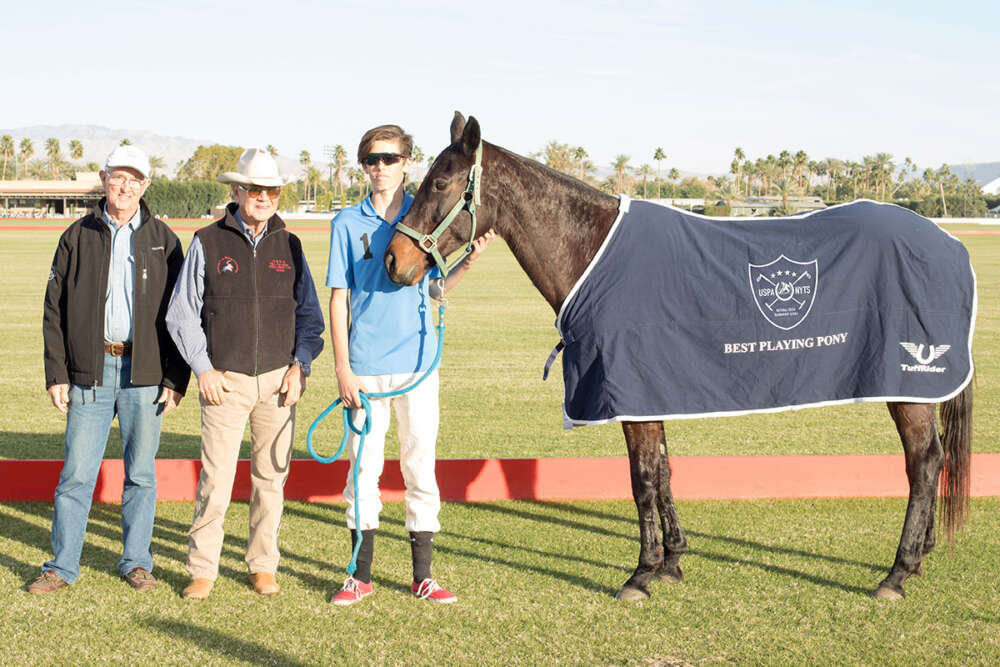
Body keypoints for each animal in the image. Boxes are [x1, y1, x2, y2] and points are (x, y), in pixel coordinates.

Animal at [378, 112, 972, 604]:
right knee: (934, 458)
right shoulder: (649, 393)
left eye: (439, 182)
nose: (391, 261)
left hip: (907, 384)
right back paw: (919, 558)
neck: (594, 251)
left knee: (923, 461)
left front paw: (640, 574)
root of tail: (947, 243)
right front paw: (671, 563)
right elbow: (663, 472)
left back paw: (897, 572)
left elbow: (642, 478)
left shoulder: (630, 394)